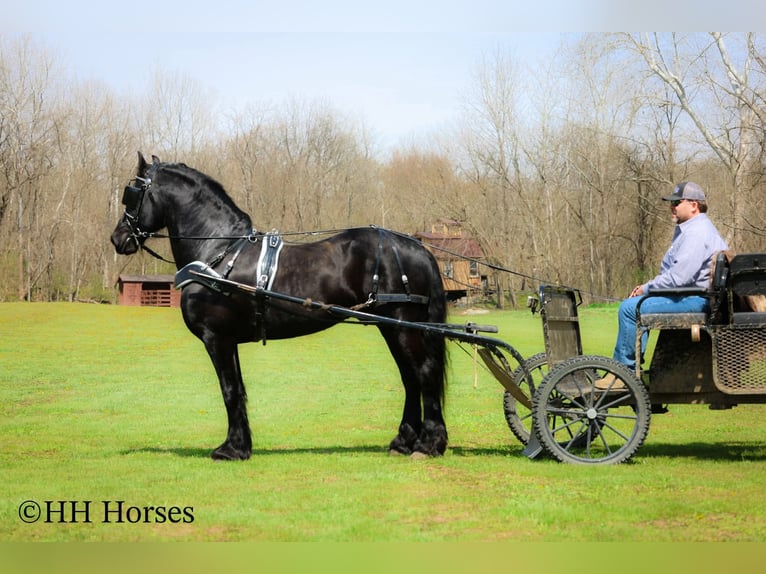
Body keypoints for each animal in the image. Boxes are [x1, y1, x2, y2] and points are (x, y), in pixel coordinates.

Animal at [110, 152, 448, 461]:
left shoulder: (216, 338)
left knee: (424, 373)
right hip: (391, 327)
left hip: (402, 325)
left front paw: (230, 449)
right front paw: (241, 445)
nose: (118, 238)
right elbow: (239, 390)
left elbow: (228, 390)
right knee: (410, 378)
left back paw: (428, 444)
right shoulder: (229, 340)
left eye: (133, 192)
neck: (219, 253)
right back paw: (404, 441)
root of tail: (417, 246)